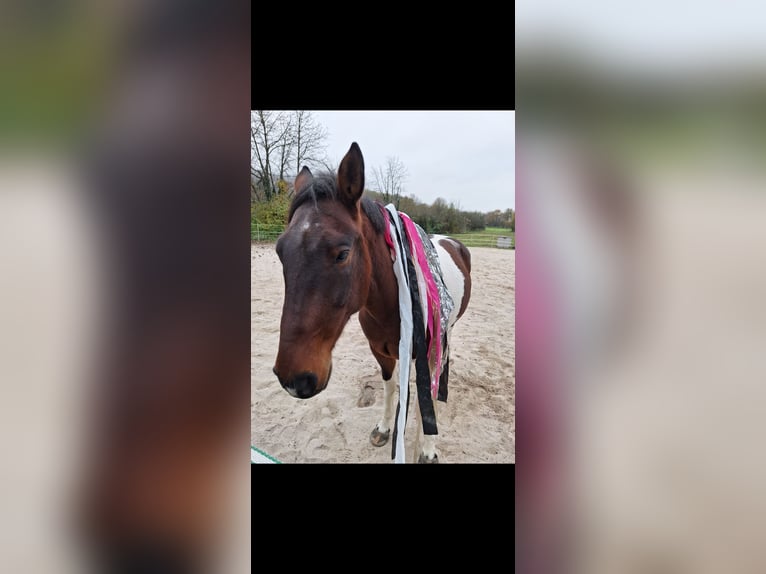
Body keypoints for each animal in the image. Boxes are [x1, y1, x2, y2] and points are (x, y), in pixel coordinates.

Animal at [273, 142, 472, 463]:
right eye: (280, 252)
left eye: (342, 253)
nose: (295, 379)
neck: (391, 303)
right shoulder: (381, 351)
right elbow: (390, 387)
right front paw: (384, 427)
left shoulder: (427, 352)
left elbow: (424, 402)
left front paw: (427, 448)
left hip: (447, 332)